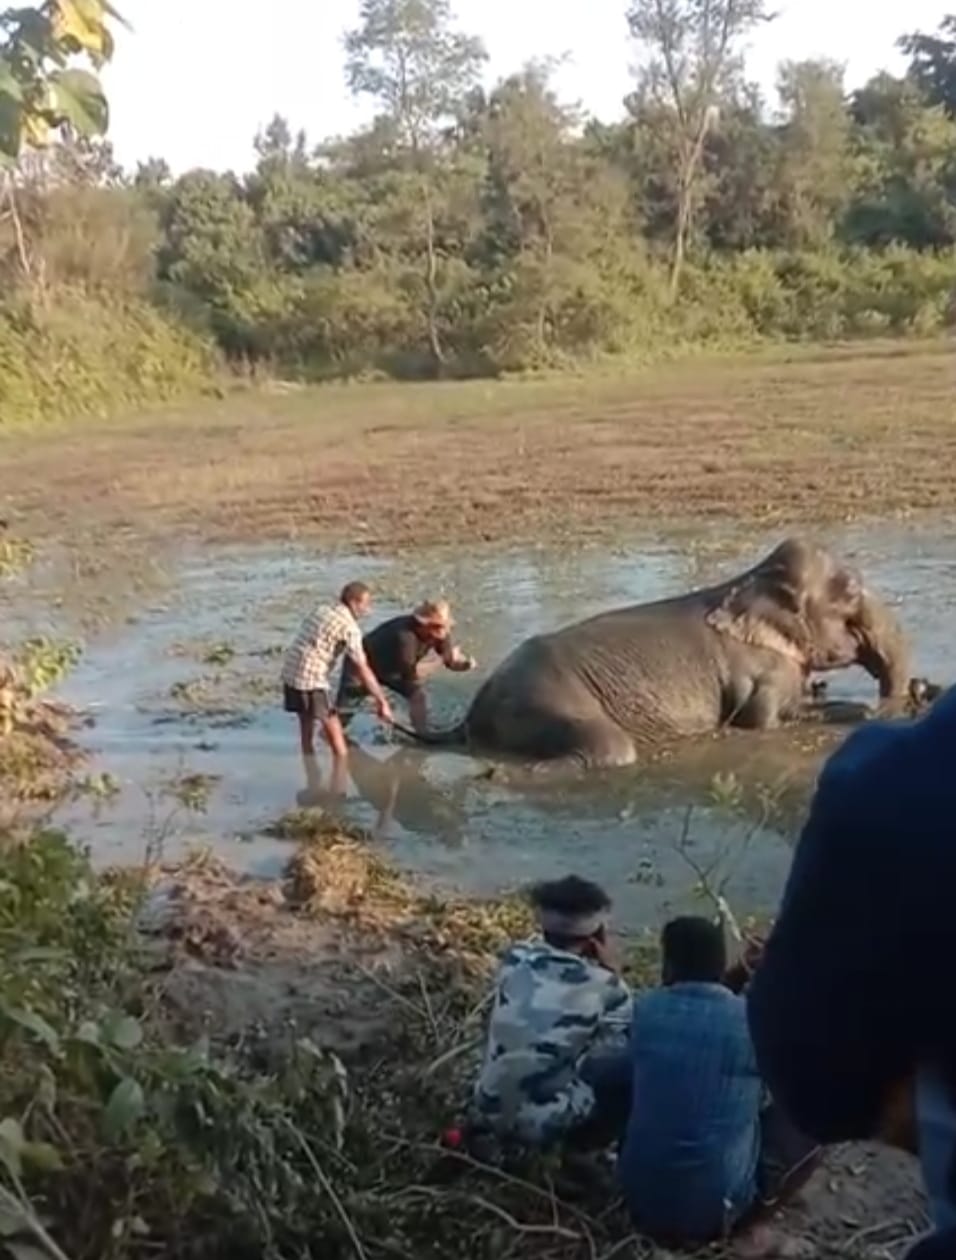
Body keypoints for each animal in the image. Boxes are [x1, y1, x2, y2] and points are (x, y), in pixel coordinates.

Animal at [400, 537, 912, 772]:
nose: (911, 693)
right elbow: (762, 723)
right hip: (549, 703)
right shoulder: (761, 675)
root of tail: (474, 711)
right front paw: (859, 711)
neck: (752, 583)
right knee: (611, 751)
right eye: (850, 595)